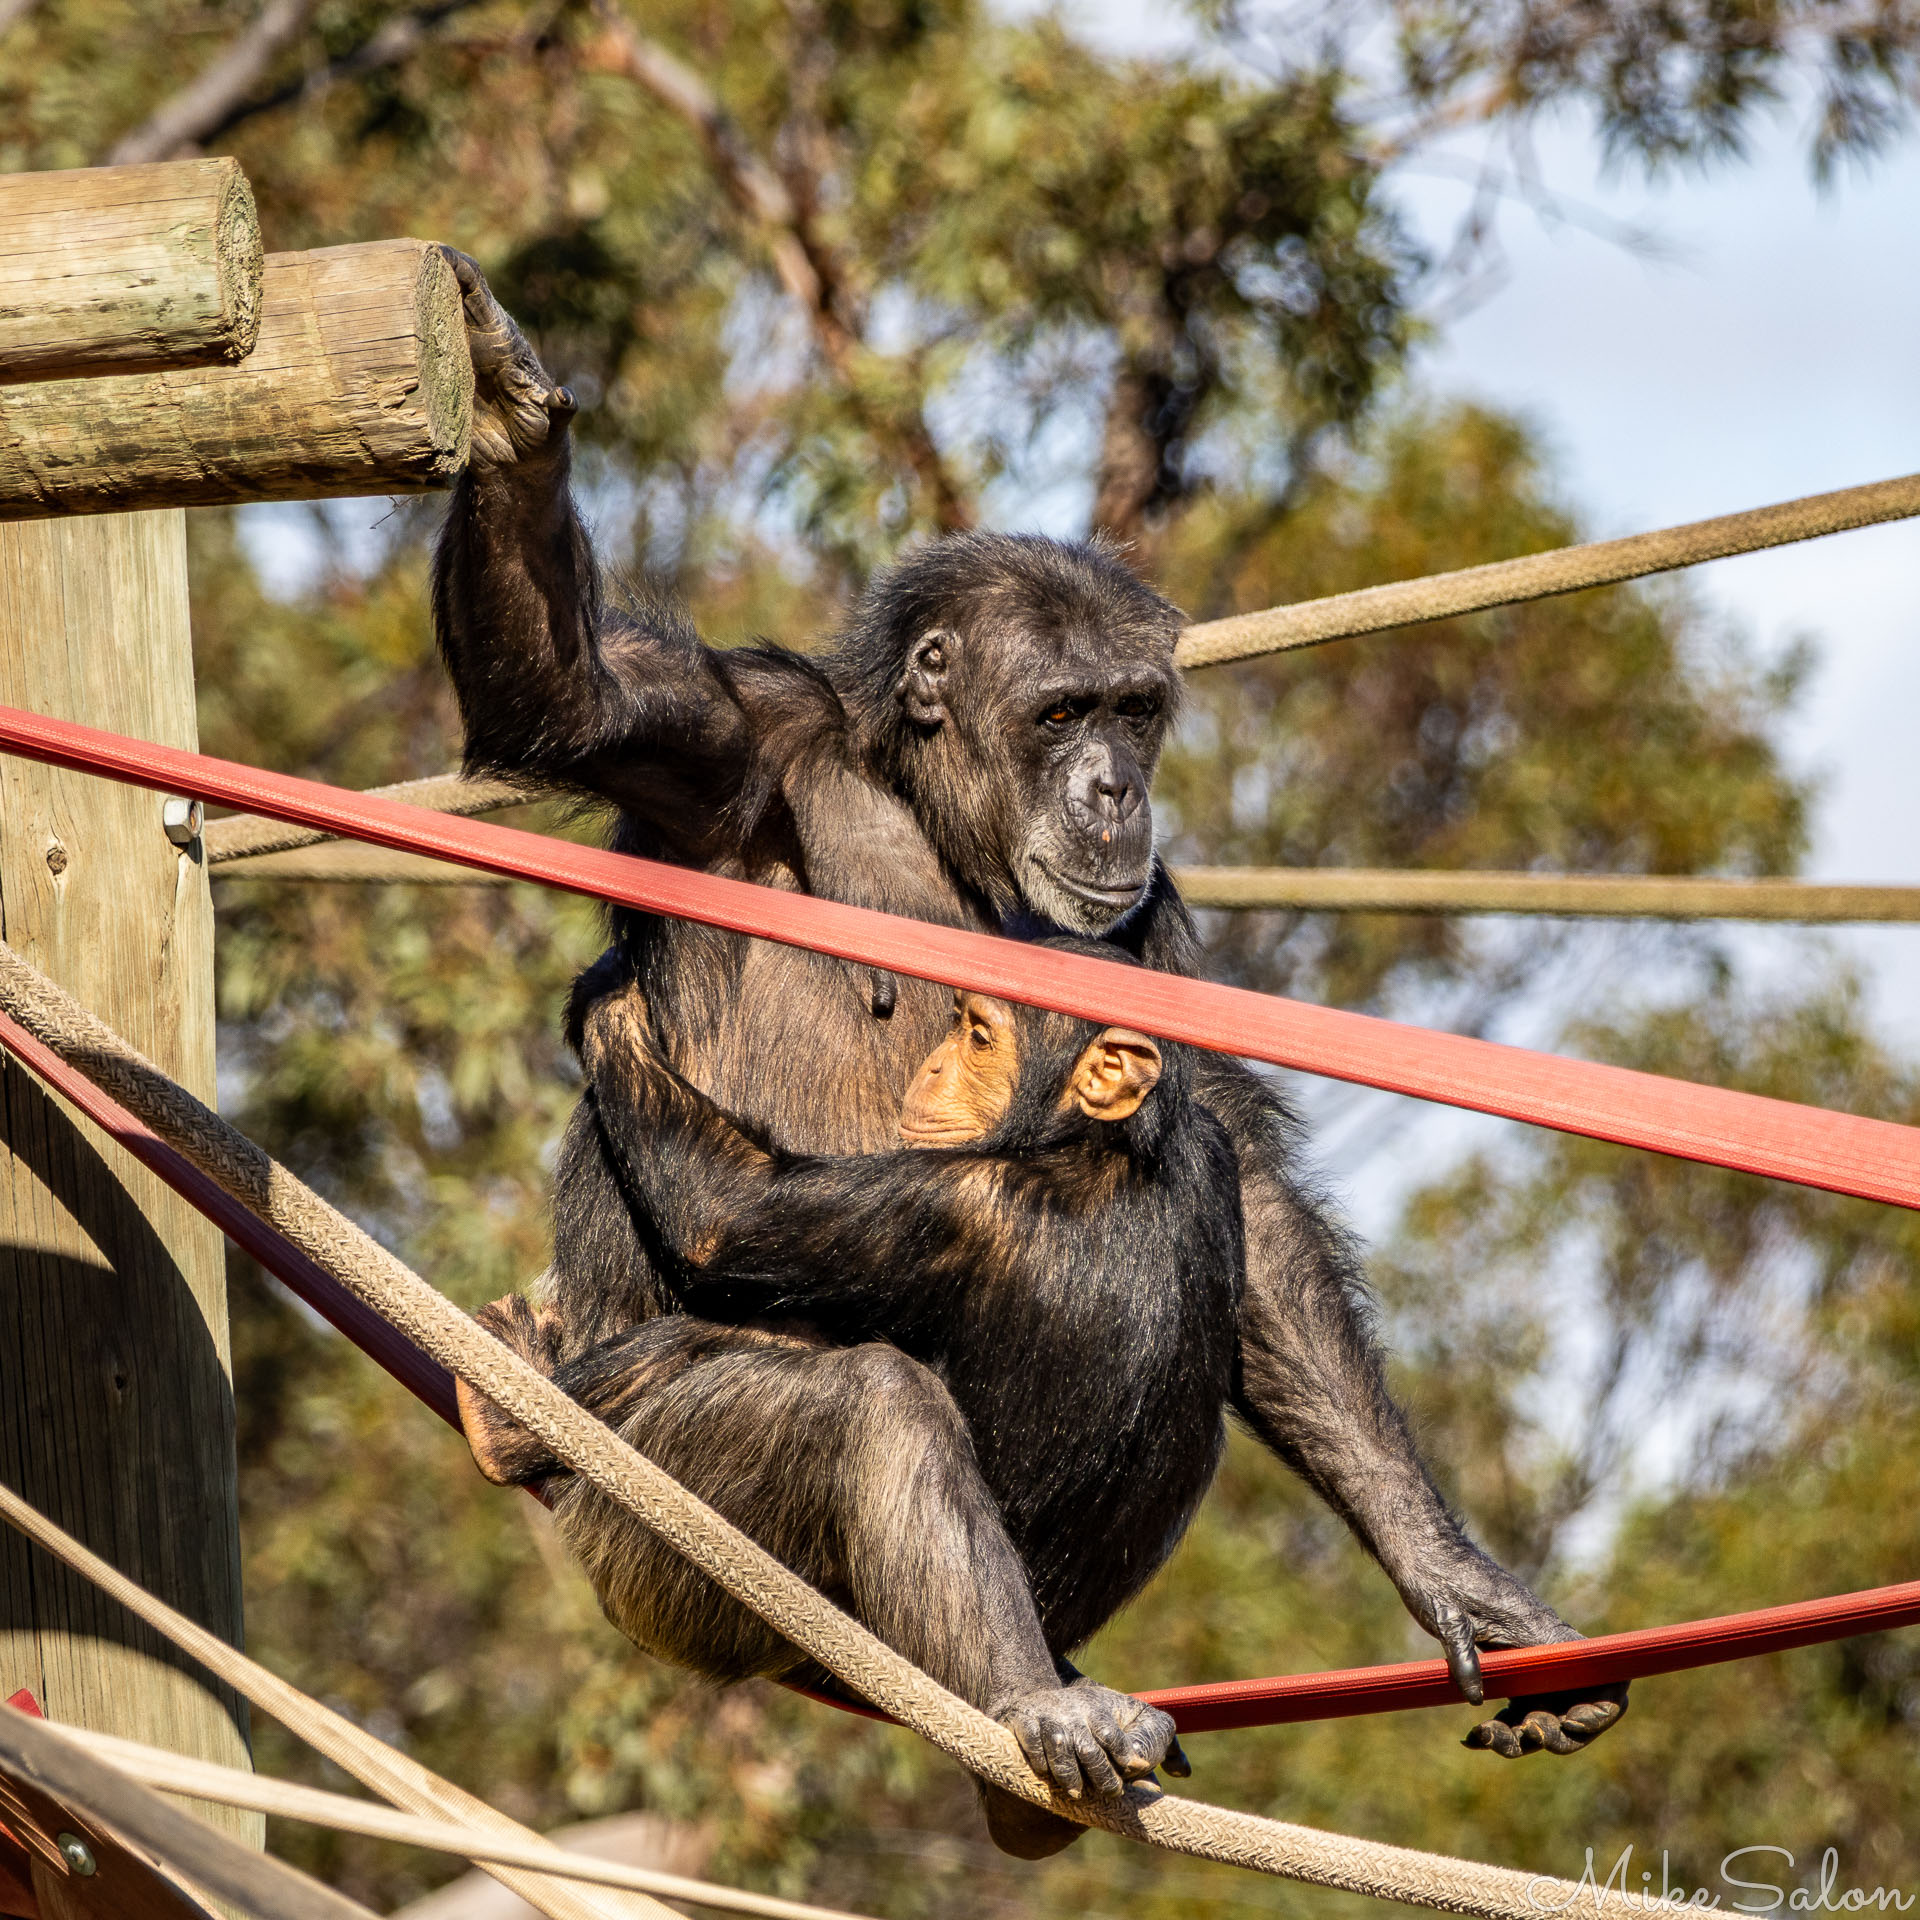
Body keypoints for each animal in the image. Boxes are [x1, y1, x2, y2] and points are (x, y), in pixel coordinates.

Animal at [460, 950, 1239, 1854]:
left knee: (873, 1394)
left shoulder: (959, 1201)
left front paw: (608, 999)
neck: (1104, 1145)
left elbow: (726, 1213)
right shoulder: (1212, 1157)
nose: (930, 1065)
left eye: (979, 1037)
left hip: (657, 1561)